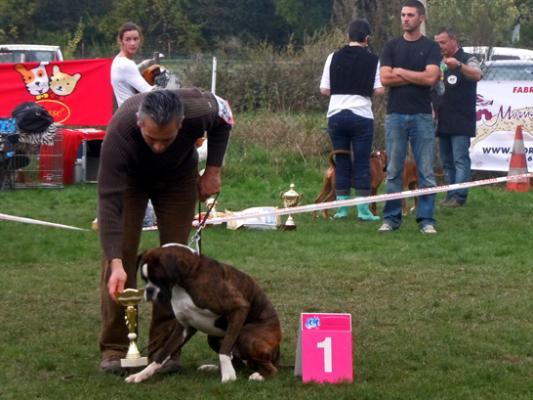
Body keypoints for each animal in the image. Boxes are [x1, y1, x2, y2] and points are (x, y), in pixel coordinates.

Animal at [125, 242, 282, 382]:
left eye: (159, 278)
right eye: (144, 279)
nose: (149, 290)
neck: (189, 277)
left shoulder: (239, 308)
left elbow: (224, 350)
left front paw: (228, 376)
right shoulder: (183, 328)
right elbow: (162, 354)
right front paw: (142, 374)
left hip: (245, 334)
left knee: (271, 368)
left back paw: (258, 375)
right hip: (213, 337)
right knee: (240, 362)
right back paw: (214, 368)